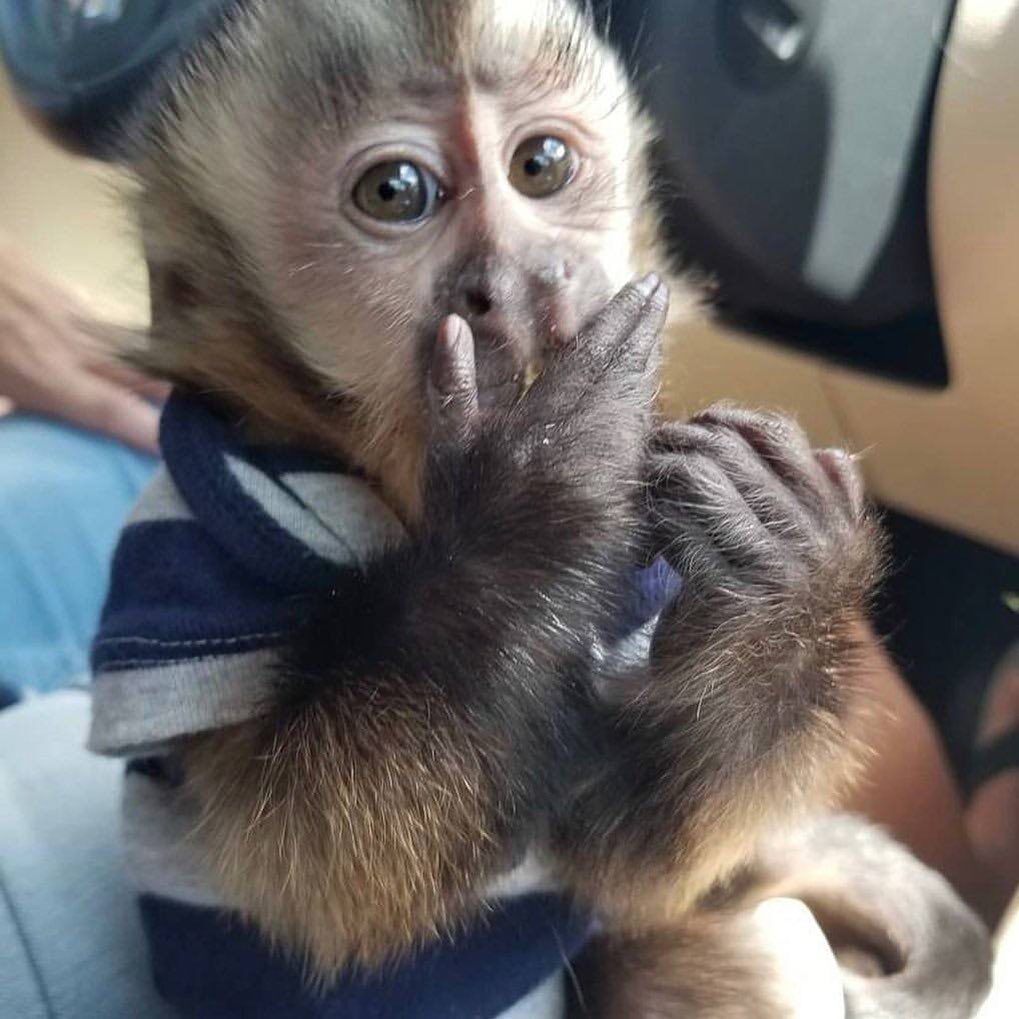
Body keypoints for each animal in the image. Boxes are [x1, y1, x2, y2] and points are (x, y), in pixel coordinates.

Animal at [85, 1, 991, 1017]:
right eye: (396, 191)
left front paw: (781, 567)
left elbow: (617, 849)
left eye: (542, 166)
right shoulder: (188, 563)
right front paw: (535, 483)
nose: (519, 279)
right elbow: (311, 871)